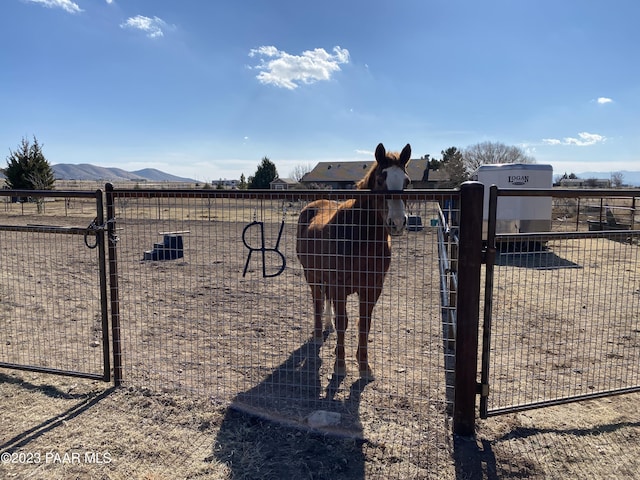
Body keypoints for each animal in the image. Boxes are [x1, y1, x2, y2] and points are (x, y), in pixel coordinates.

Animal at [298, 142, 412, 378]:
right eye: (380, 180)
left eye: (407, 182)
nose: (397, 222)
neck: (358, 237)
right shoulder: (340, 286)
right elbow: (343, 322)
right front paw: (340, 365)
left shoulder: (372, 288)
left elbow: (364, 324)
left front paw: (364, 365)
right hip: (311, 275)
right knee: (317, 301)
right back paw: (318, 334)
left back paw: (328, 327)